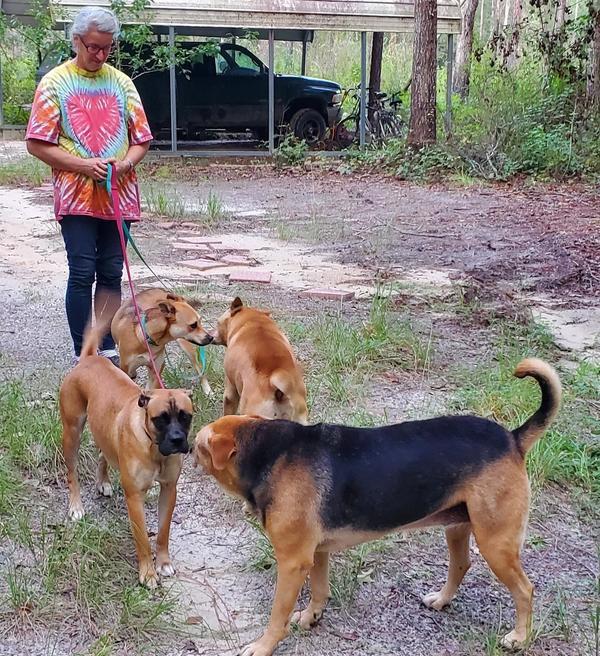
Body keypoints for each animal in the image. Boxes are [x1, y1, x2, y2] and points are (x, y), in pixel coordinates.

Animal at [60, 326, 193, 588]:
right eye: (160, 419)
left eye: (185, 416)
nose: (176, 440)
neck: (154, 449)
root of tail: (89, 359)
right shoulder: (134, 497)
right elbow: (142, 539)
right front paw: (148, 573)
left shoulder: (169, 490)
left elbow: (163, 532)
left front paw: (163, 562)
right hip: (71, 433)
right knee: (72, 473)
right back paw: (76, 505)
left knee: (104, 453)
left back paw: (103, 481)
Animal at [193, 358, 564, 656]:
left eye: (198, 446)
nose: (183, 448)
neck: (270, 452)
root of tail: (512, 438)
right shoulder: (316, 554)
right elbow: (319, 592)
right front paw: (312, 617)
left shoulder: (292, 562)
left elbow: (277, 615)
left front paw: (263, 646)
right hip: (459, 528)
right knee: (461, 565)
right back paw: (442, 601)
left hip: (496, 543)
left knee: (525, 590)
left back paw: (518, 637)